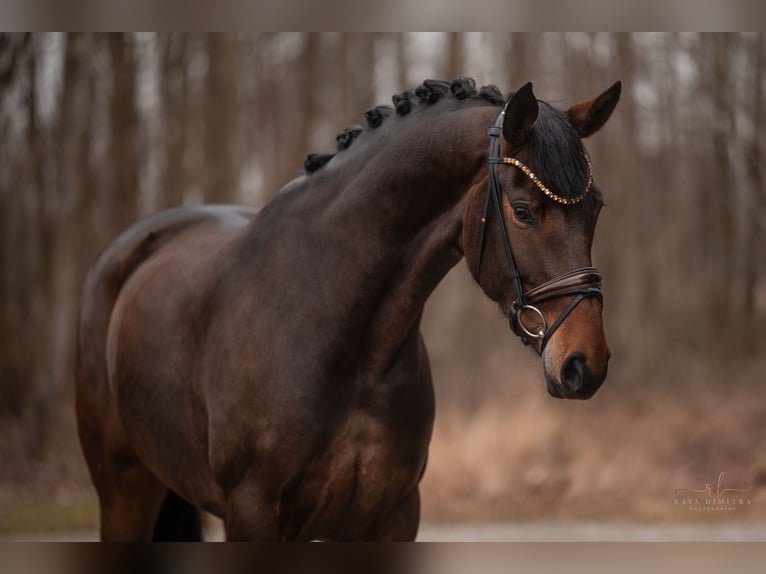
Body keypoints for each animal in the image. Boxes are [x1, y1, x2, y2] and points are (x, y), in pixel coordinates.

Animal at [73, 75, 624, 540]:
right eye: (525, 210)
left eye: (596, 208)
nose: (584, 364)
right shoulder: (251, 510)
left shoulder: (392, 514)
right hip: (124, 490)